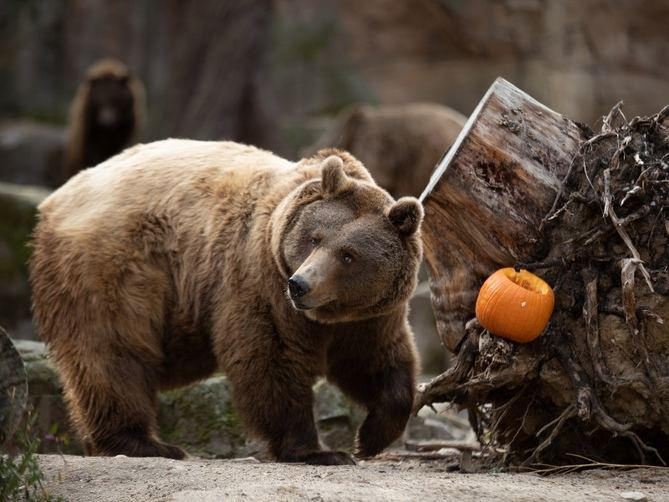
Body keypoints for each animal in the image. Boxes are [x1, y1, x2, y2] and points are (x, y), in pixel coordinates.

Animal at [30, 139, 422, 464]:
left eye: (348, 255)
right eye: (314, 237)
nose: (300, 285)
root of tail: (56, 199)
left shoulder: (370, 316)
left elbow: (377, 362)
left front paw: (369, 438)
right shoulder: (259, 279)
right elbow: (272, 358)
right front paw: (318, 451)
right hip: (116, 264)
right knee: (113, 351)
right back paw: (147, 444)